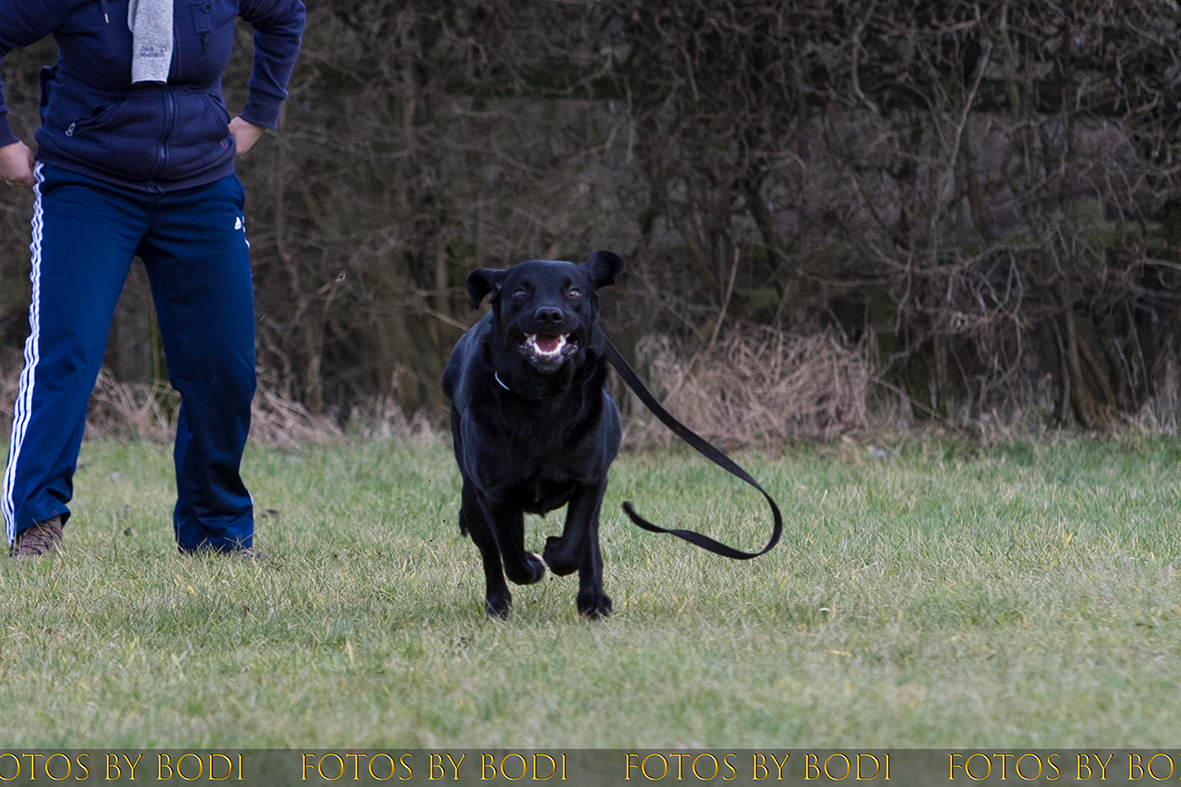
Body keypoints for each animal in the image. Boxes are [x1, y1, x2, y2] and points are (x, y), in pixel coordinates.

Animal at [442, 251, 625, 619]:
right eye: (520, 292)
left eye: (573, 292)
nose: (550, 315)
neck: (542, 397)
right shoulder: (493, 493)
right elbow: (510, 555)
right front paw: (533, 565)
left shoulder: (592, 480)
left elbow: (575, 545)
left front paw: (555, 553)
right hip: (471, 496)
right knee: (491, 554)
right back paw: (497, 605)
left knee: (588, 542)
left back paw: (593, 601)